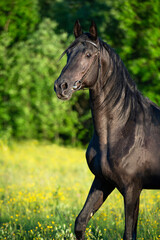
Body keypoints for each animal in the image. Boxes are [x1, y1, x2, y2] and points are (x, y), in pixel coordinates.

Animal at [54, 21, 160, 240]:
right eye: (68, 53)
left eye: (88, 55)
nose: (61, 87)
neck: (123, 129)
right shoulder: (102, 181)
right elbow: (80, 222)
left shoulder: (132, 189)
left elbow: (129, 234)